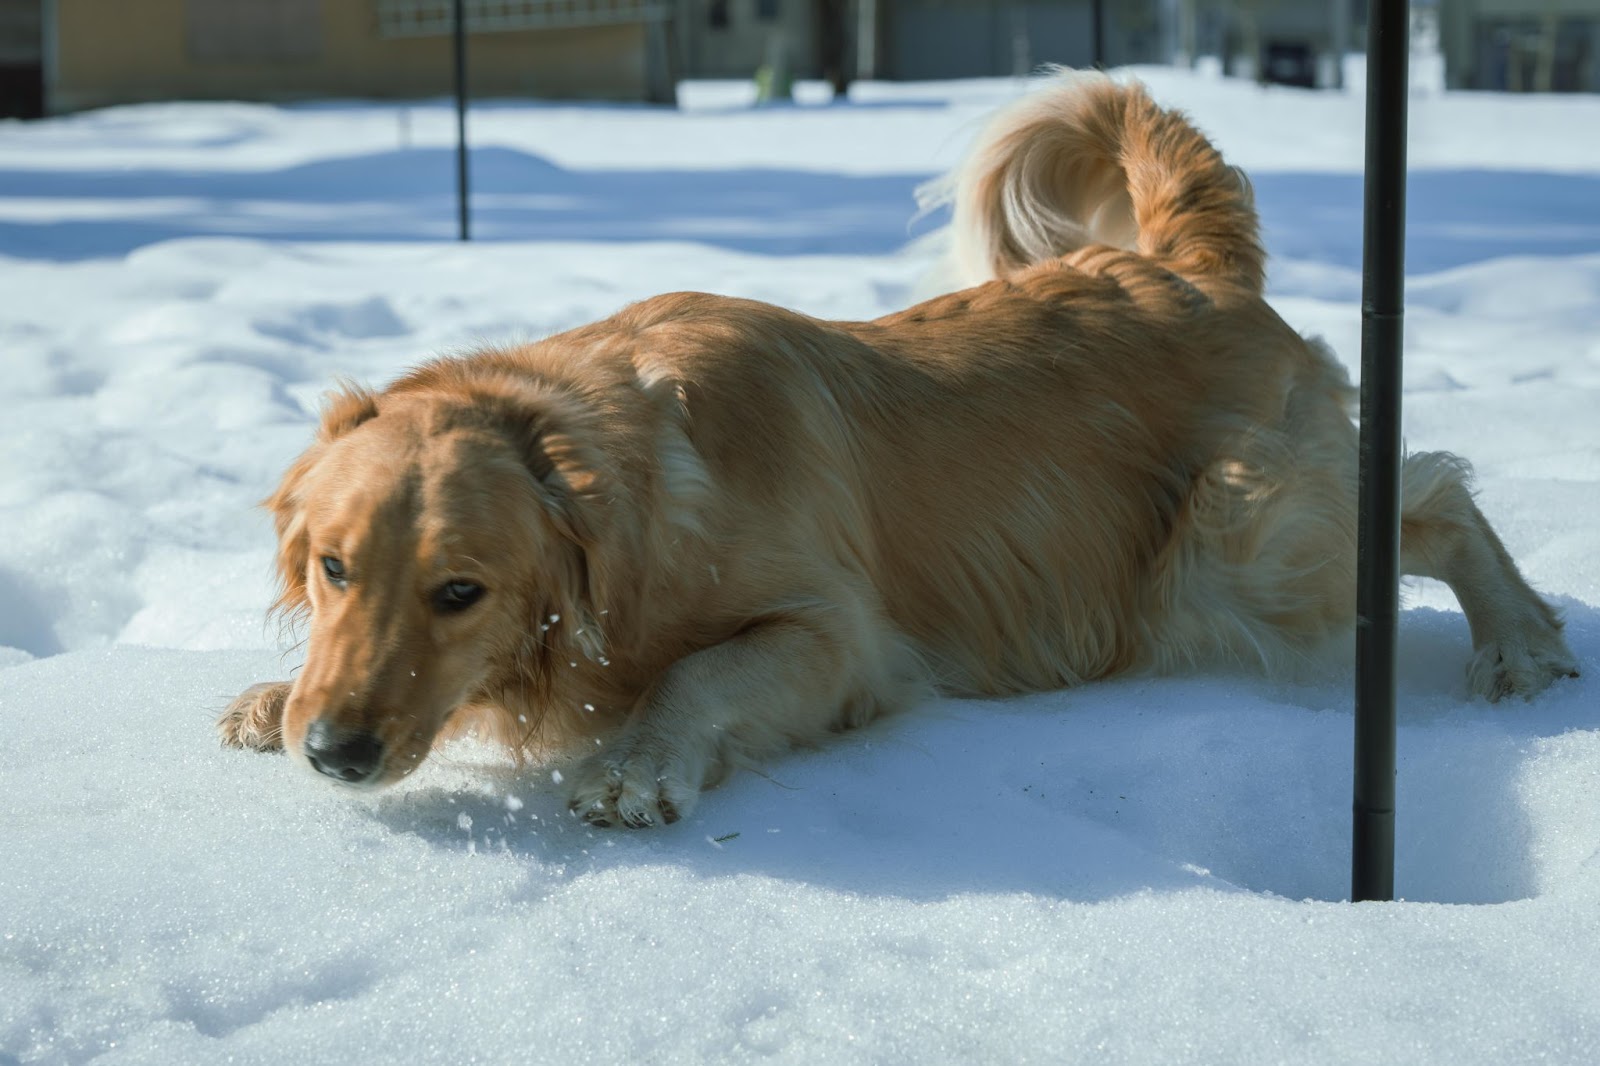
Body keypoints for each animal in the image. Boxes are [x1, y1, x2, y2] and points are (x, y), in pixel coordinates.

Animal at [219, 74, 1580, 825]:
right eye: (334, 570)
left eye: (462, 591)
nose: (335, 755)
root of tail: (1188, 267)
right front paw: (272, 696)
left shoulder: (839, 639)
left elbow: (696, 676)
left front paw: (635, 767)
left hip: (1227, 538)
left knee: (1432, 495)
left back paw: (1519, 643)